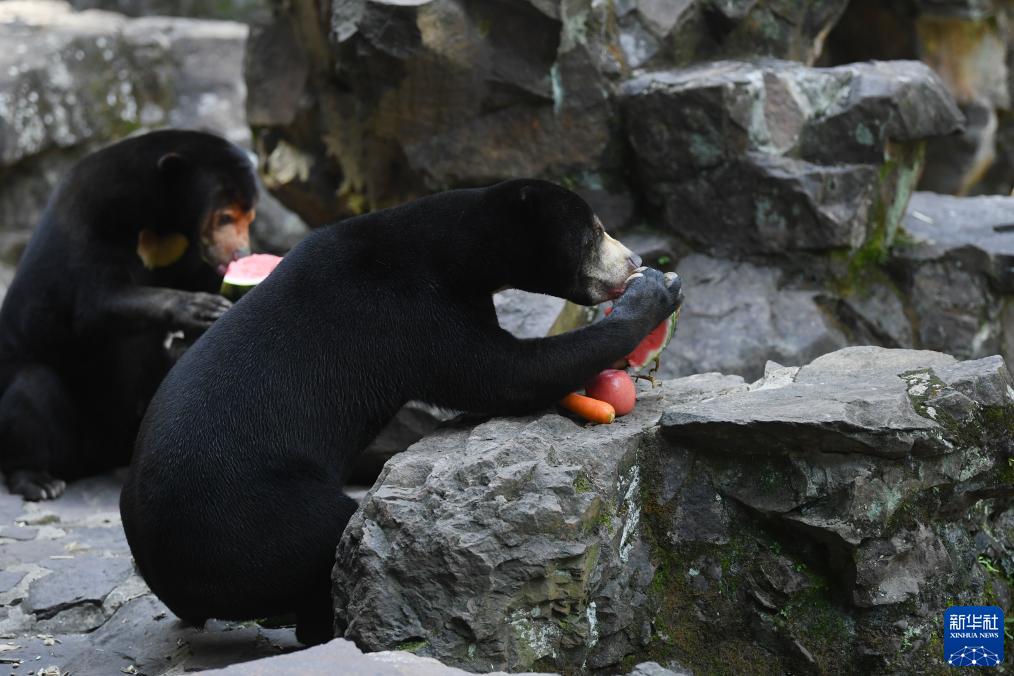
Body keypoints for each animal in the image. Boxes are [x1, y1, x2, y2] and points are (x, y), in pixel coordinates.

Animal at [0, 130, 257, 502]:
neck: (162, 223)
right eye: (224, 217)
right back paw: (38, 480)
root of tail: (104, 454)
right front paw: (201, 308)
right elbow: (95, 303)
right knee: (30, 389)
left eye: (249, 218)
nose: (241, 254)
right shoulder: (94, 218)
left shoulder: (187, 250)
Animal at [122, 179, 685, 644]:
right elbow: (502, 373)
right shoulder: (404, 310)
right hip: (252, 513)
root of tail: (161, 572)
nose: (634, 257)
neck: (449, 250)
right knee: (324, 536)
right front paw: (657, 292)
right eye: (596, 231)